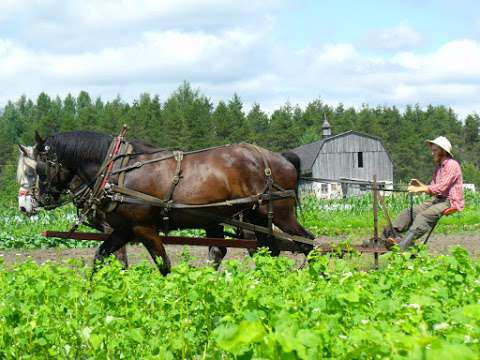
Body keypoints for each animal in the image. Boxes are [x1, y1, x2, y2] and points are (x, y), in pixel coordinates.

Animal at [31, 131, 314, 274]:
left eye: (40, 166)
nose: (37, 199)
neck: (119, 171)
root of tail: (282, 158)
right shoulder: (124, 229)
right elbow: (100, 257)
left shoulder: (144, 228)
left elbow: (164, 265)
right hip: (255, 216)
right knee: (269, 250)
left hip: (280, 213)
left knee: (307, 242)